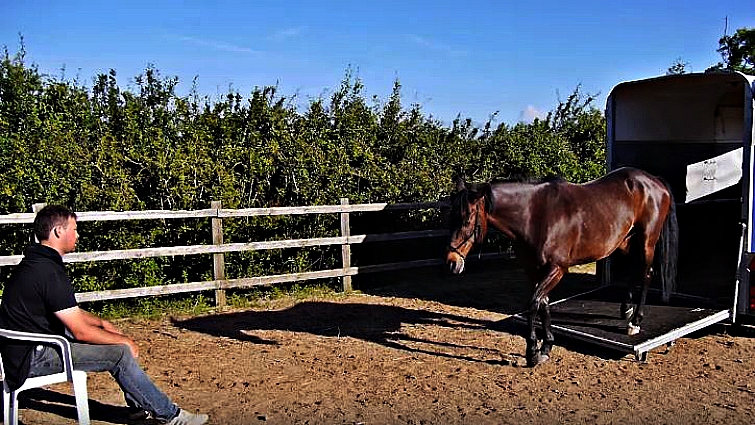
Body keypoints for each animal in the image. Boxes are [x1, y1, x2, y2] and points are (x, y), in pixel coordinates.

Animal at [445, 167, 678, 367]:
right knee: (632, 268)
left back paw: (635, 321)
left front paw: (532, 352)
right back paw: (626, 308)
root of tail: (654, 180)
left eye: (467, 219)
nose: (452, 262)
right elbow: (544, 304)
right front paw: (546, 346)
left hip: (647, 240)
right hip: (626, 240)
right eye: (451, 216)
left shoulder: (556, 269)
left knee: (646, 273)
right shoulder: (534, 271)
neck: (535, 215)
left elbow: (533, 304)